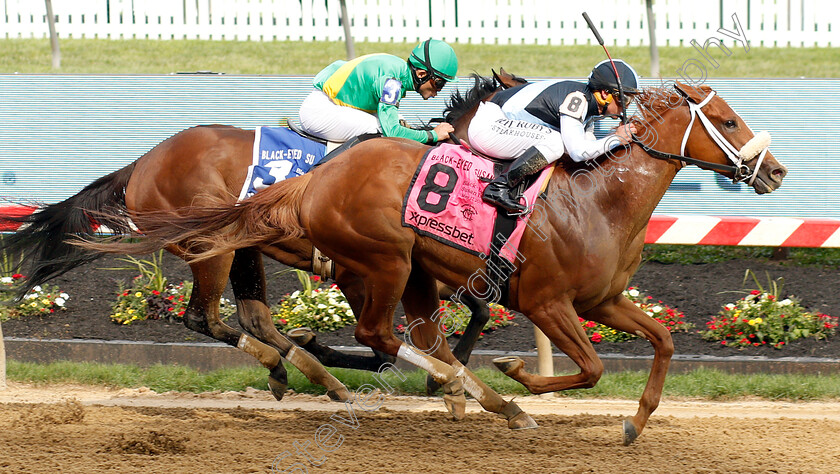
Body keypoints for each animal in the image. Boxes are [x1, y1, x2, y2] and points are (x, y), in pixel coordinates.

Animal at [0, 70, 524, 402]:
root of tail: (141, 164)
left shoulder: (424, 265)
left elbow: (477, 309)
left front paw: (449, 374)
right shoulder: (363, 270)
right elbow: (383, 346)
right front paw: (442, 378)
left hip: (242, 248)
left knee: (253, 317)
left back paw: (306, 373)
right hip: (207, 245)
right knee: (204, 318)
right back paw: (291, 365)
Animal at [106, 82, 788, 444]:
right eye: (727, 120)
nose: (776, 171)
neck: (599, 198)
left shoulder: (601, 300)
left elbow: (664, 340)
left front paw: (636, 423)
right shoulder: (547, 302)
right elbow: (589, 368)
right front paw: (515, 376)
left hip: (366, 262)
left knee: (285, 324)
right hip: (377, 258)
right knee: (369, 334)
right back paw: (472, 393)